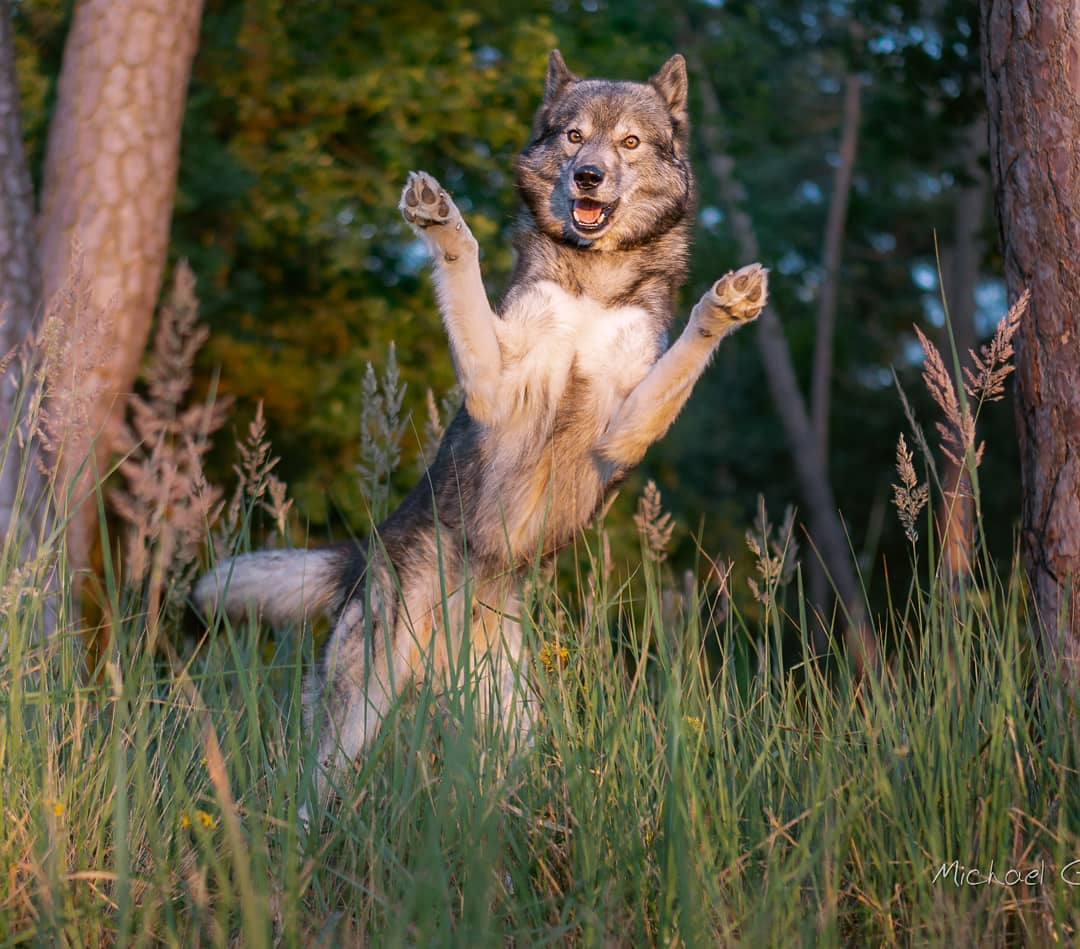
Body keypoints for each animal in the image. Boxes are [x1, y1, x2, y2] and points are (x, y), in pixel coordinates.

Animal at [196, 46, 768, 816]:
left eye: (628, 143)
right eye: (573, 136)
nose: (587, 176)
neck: (591, 280)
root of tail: (365, 554)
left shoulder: (623, 433)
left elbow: (687, 348)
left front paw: (724, 304)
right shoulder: (495, 389)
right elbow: (460, 266)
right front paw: (442, 222)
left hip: (511, 729)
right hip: (359, 709)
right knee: (314, 789)